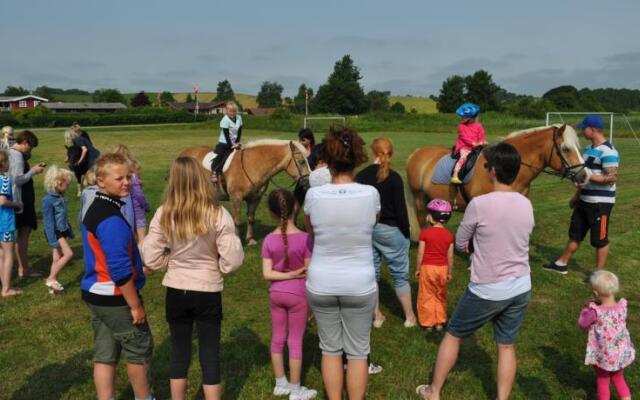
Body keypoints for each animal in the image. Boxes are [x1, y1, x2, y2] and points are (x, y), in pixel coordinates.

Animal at [180, 141, 310, 247]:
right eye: (302, 161)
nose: (307, 182)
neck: (252, 165)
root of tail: (183, 153)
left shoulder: (255, 199)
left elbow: (250, 218)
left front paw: (250, 239)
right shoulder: (236, 198)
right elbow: (237, 221)